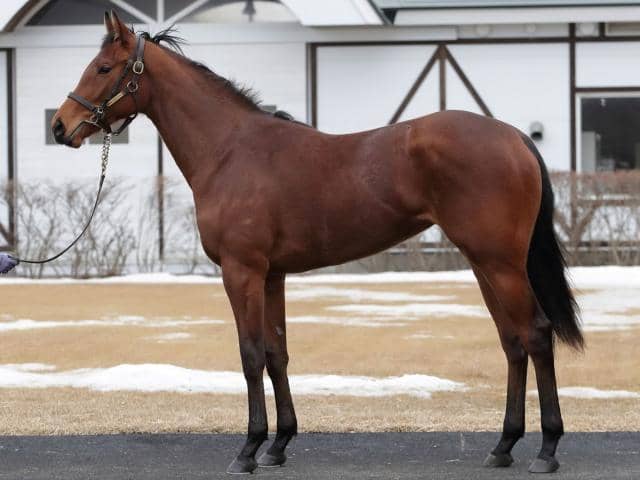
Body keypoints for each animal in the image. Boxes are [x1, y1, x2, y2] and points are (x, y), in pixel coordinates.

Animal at [51, 11, 582, 475]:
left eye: (103, 68)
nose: (59, 126)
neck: (230, 151)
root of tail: (513, 136)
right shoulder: (272, 275)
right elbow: (276, 353)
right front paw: (279, 444)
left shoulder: (241, 271)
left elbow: (250, 355)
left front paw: (248, 450)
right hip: (483, 263)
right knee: (512, 343)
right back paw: (503, 446)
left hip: (501, 264)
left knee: (536, 335)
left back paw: (547, 449)